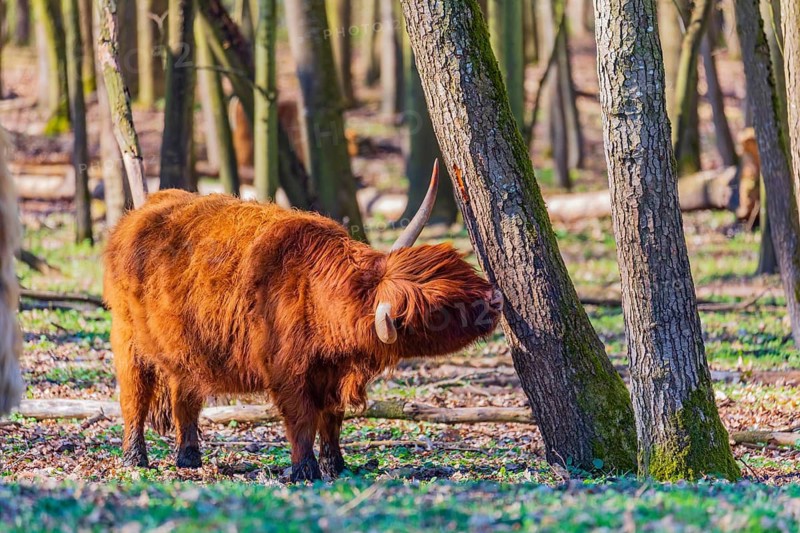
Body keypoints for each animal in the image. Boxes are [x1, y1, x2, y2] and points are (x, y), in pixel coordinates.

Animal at [103, 161, 503, 481]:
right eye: (440, 308)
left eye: (464, 270)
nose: (495, 299)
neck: (319, 295)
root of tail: (142, 211)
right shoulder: (288, 373)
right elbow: (302, 419)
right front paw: (304, 470)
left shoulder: (333, 374)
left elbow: (332, 420)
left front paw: (335, 464)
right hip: (127, 339)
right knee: (134, 397)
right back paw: (135, 458)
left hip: (183, 351)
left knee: (183, 397)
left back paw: (188, 458)